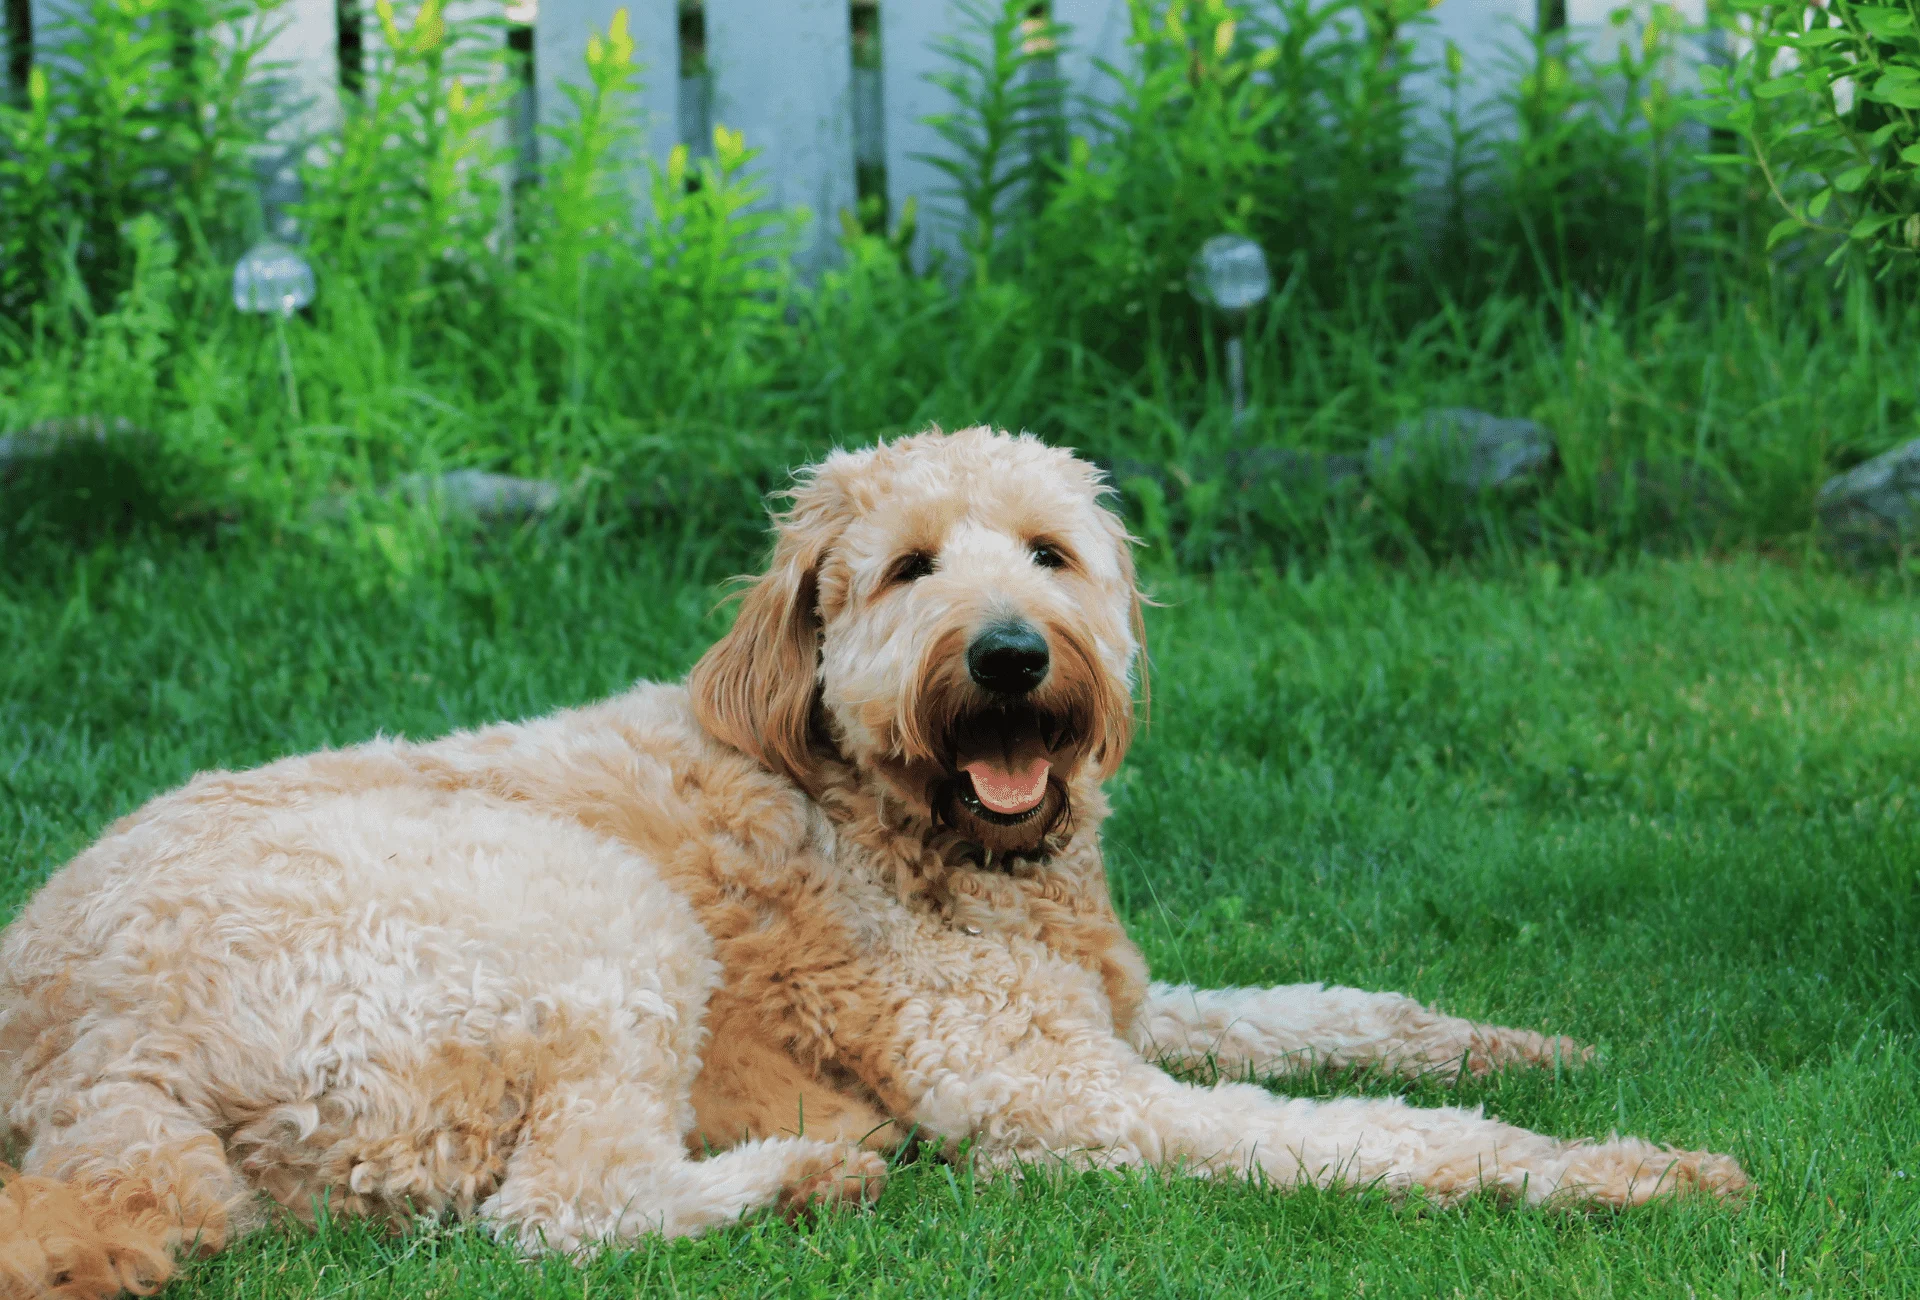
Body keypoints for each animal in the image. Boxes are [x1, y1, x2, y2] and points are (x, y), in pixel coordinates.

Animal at [0, 422, 1743, 1290]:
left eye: (1050, 554)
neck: (909, 827)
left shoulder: (1122, 1006)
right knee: (559, 1212)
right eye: (906, 569)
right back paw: (803, 1177)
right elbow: (1373, 1137)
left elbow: (1339, 1016)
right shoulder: (1060, 1087)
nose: (1011, 654)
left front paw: (1526, 1045)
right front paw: (1619, 1171)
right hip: (589, 920)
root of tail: (90, 1078)